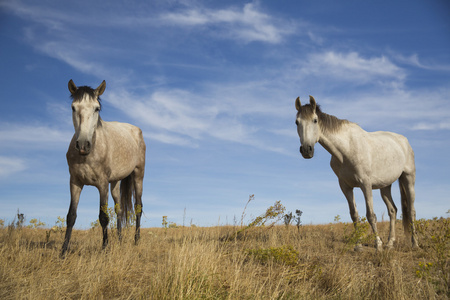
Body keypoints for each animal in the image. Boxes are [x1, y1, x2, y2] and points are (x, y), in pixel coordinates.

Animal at [60, 79, 146, 255]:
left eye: (96, 108)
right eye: (73, 107)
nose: (83, 145)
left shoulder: (102, 184)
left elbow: (103, 216)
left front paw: (105, 248)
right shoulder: (75, 182)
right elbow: (71, 216)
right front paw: (63, 252)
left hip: (138, 175)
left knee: (138, 207)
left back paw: (136, 240)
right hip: (115, 182)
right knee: (119, 209)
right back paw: (119, 240)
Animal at [296, 96, 418, 251]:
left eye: (315, 120)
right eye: (297, 122)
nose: (307, 150)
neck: (346, 149)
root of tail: (404, 141)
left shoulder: (365, 184)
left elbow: (371, 215)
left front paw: (377, 245)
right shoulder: (345, 186)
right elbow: (354, 214)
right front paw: (358, 245)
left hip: (408, 178)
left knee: (411, 211)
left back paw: (415, 244)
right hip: (385, 186)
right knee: (393, 210)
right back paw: (390, 243)